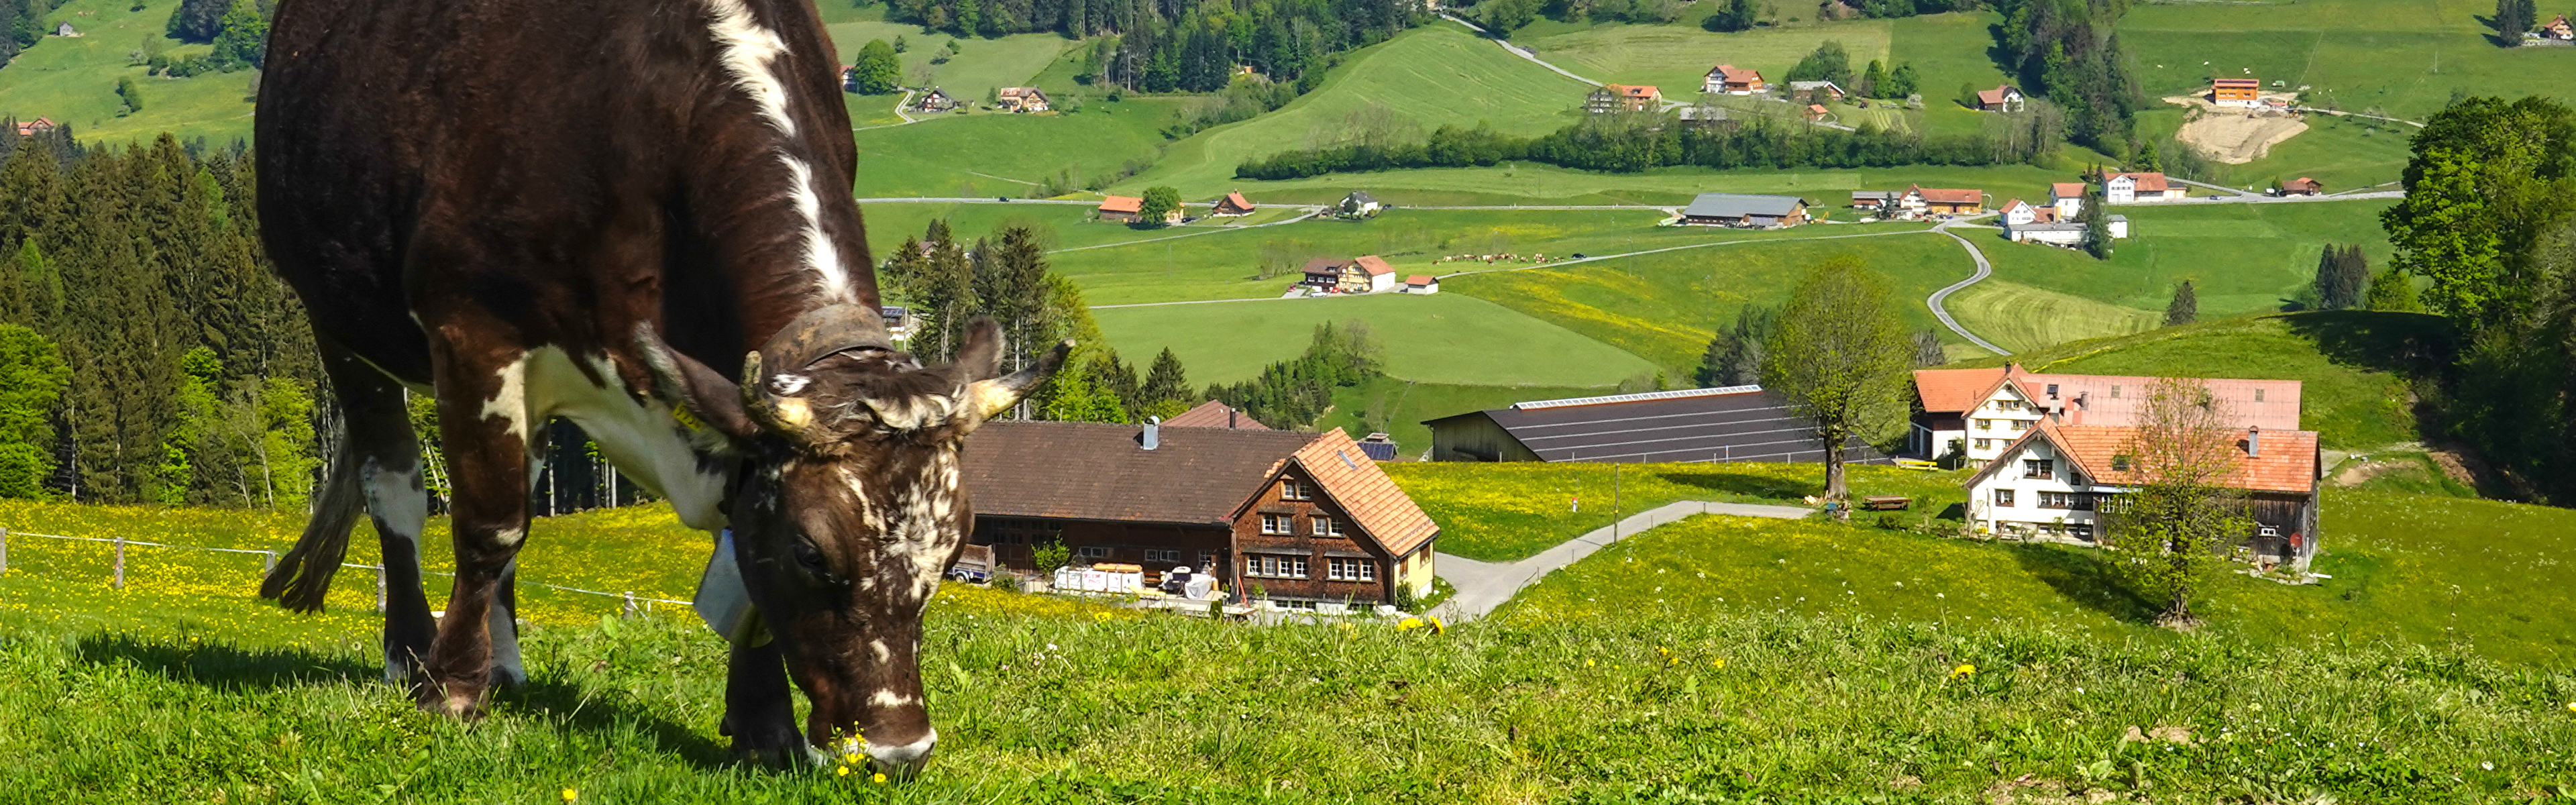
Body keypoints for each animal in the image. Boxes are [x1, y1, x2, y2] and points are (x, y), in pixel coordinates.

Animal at [254, 0, 1066, 773]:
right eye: (812, 552)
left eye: (953, 552)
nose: (899, 750)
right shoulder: (472, 333)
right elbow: (489, 523)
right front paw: (449, 691)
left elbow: (732, 551)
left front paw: (763, 729)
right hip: (341, 322)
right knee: (395, 487)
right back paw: (409, 655)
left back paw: (506, 666)